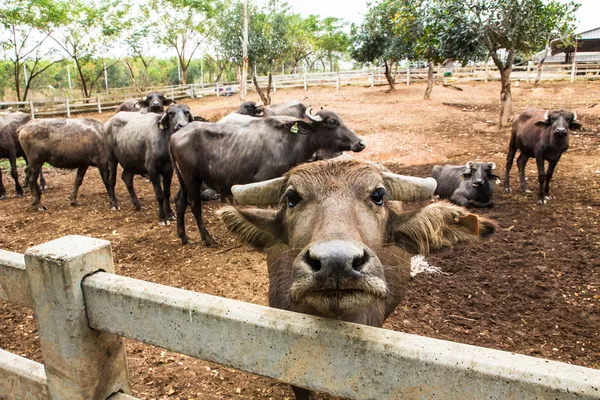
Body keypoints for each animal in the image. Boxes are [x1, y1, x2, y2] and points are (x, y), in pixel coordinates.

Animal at [169, 106, 366, 245]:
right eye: (332, 122)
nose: (360, 143)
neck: (290, 140)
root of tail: (174, 136)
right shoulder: (262, 181)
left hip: (184, 179)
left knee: (180, 201)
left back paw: (184, 237)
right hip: (192, 177)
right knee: (194, 204)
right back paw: (208, 239)